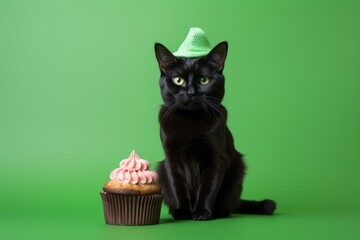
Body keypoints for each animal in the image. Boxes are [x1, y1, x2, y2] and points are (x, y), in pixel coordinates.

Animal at [154, 41, 276, 221]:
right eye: (178, 80)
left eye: (204, 80)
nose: (190, 93)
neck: (190, 120)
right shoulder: (171, 159)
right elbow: (178, 186)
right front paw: (182, 211)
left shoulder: (217, 158)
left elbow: (208, 187)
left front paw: (201, 212)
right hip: (161, 169)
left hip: (237, 171)